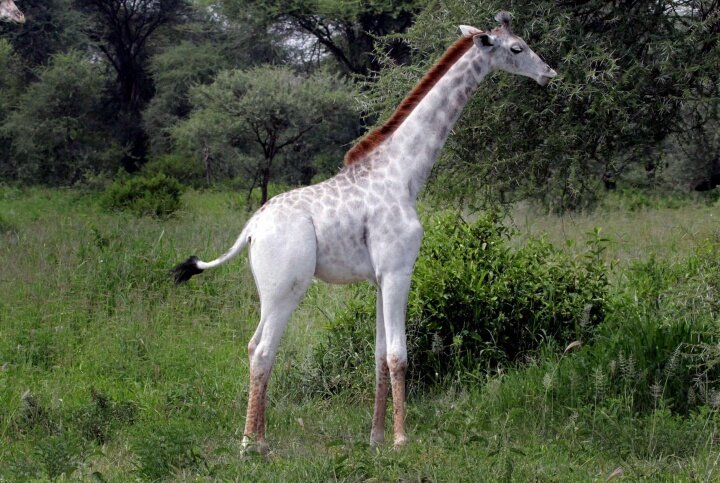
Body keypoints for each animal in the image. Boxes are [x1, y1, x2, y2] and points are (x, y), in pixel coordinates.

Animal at [173, 11, 557, 453]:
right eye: (517, 48)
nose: (549, 74)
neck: (404, 174)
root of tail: (252, 227)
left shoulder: (378, 278)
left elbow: (377, 354)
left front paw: (375, 438)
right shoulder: (398, 271)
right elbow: (398, 354)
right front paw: (402, 440)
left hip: (268, 290)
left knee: (255, 346)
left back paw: (260, 439)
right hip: (286, 287)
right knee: (264, 350)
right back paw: (251, 446)